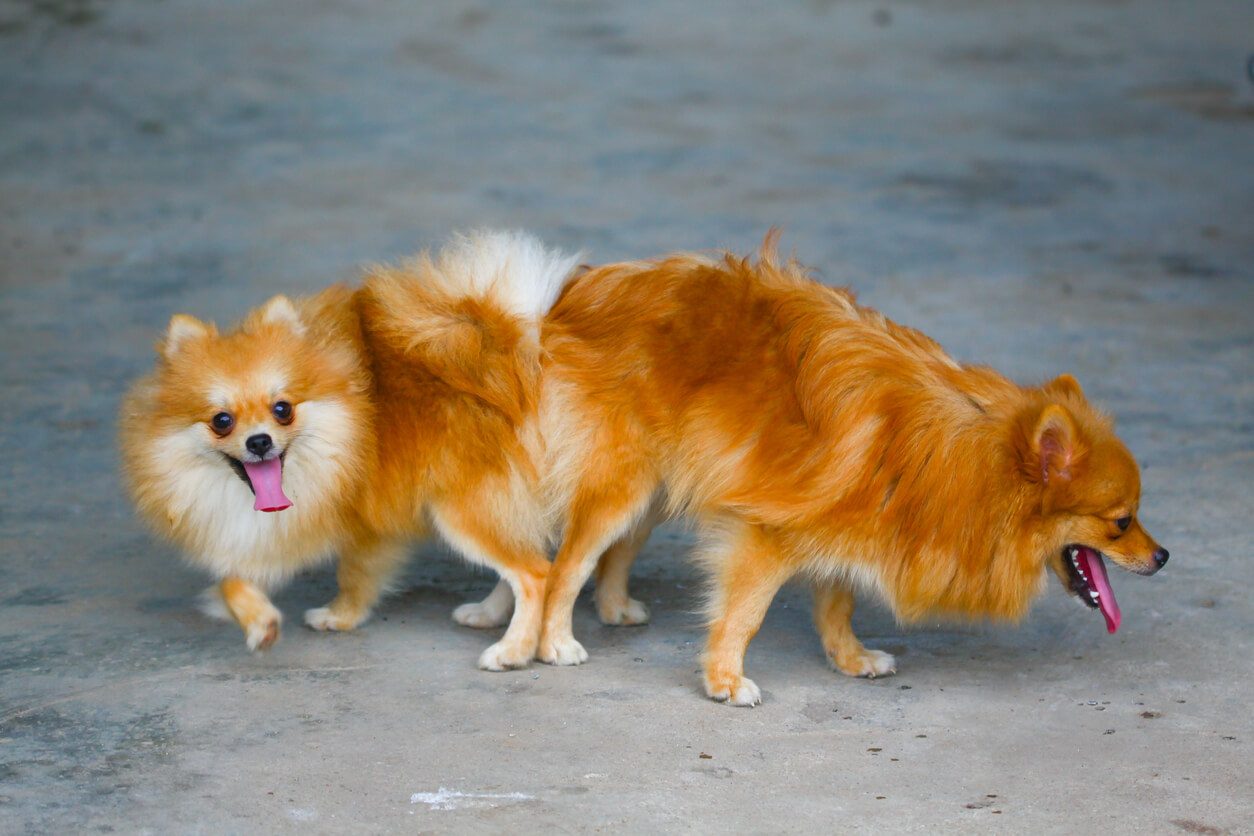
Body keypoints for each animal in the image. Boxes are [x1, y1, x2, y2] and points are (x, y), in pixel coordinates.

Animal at [536, 241, 1163, 706]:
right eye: (1121, 522)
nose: (1163, 556)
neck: (969, 463)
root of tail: (579, 291)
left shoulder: (843, 526)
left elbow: (837, 605)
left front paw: (850, 658)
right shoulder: (767, 534)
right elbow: (743, 614)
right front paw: (724, 679)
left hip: (657, 491)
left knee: (616, 550)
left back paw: (614, 608)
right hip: (624, 486)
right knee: (569, 564)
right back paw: (555, 642)